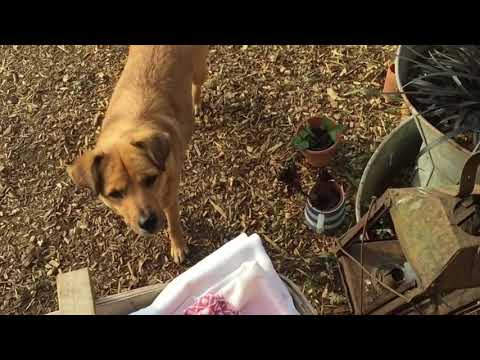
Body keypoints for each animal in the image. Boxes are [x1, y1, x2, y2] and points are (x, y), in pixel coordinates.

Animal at [67, 45, 208, 264]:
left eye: (151, 179)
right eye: (115, 194)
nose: (147, 222)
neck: (130, 125)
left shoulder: (170, 199)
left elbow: (173, 223)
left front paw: (178, 246)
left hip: (200, 70)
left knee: (197, 84)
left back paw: (196, 103)